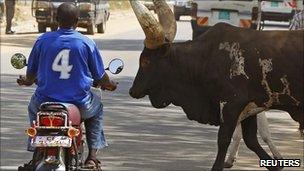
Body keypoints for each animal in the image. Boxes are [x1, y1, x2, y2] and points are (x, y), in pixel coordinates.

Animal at [127, 0, 302, 170]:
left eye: (145, 61)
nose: (132, 90)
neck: (204, 58)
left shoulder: (231, 104)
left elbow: (224, 139)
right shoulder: (251, 106)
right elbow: (251, 140)